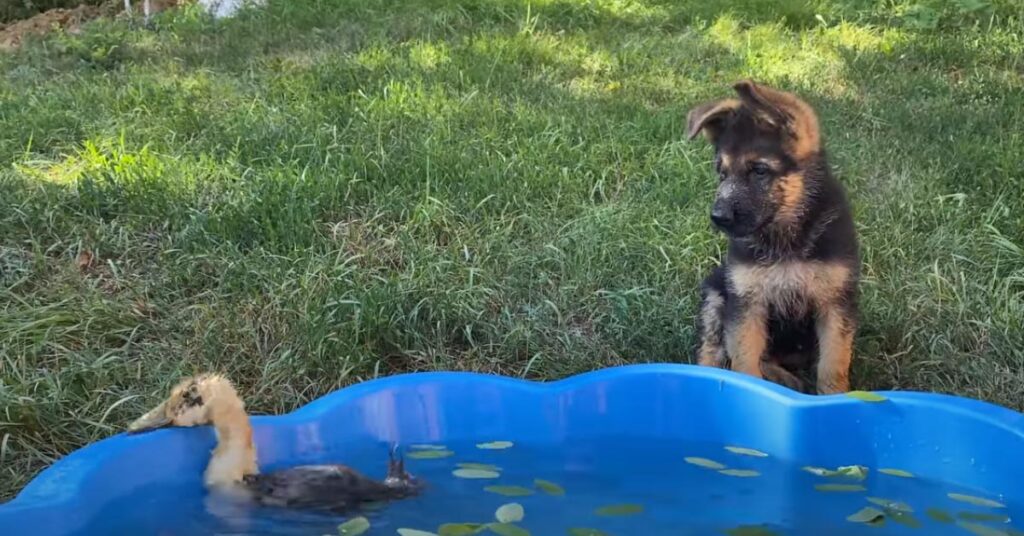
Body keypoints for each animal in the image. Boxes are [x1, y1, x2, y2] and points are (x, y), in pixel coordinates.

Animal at [684, 79, 860, 393]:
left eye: (759, 170)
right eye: (721, 173)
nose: (717, 217)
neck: (785, 236)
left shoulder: (836, 304)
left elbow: (833, 366)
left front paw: (835, 398)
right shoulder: (746, 303)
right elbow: (744, 363)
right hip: (716, 294)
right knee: (713, 351)